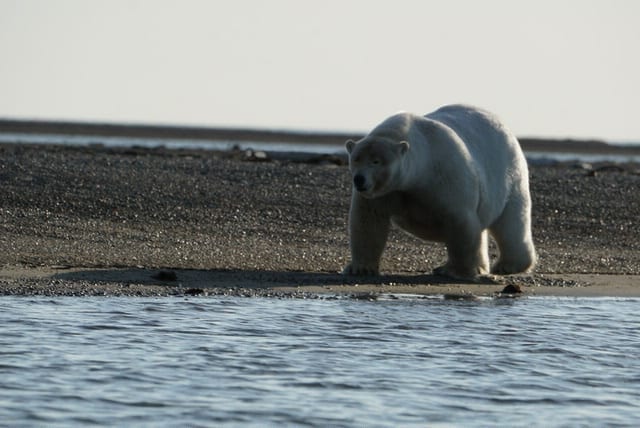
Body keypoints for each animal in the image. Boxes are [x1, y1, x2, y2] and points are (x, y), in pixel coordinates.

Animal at [344, 102, 536, 280]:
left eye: (376, 161)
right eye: (356, 159)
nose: (359, 179)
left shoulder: (444, 177)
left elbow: (460, 222)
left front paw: (458, 271)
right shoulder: (386, 192)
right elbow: (368, 220)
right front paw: (361, 268)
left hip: (509, 177)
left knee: (510, 222)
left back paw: (507, 265)